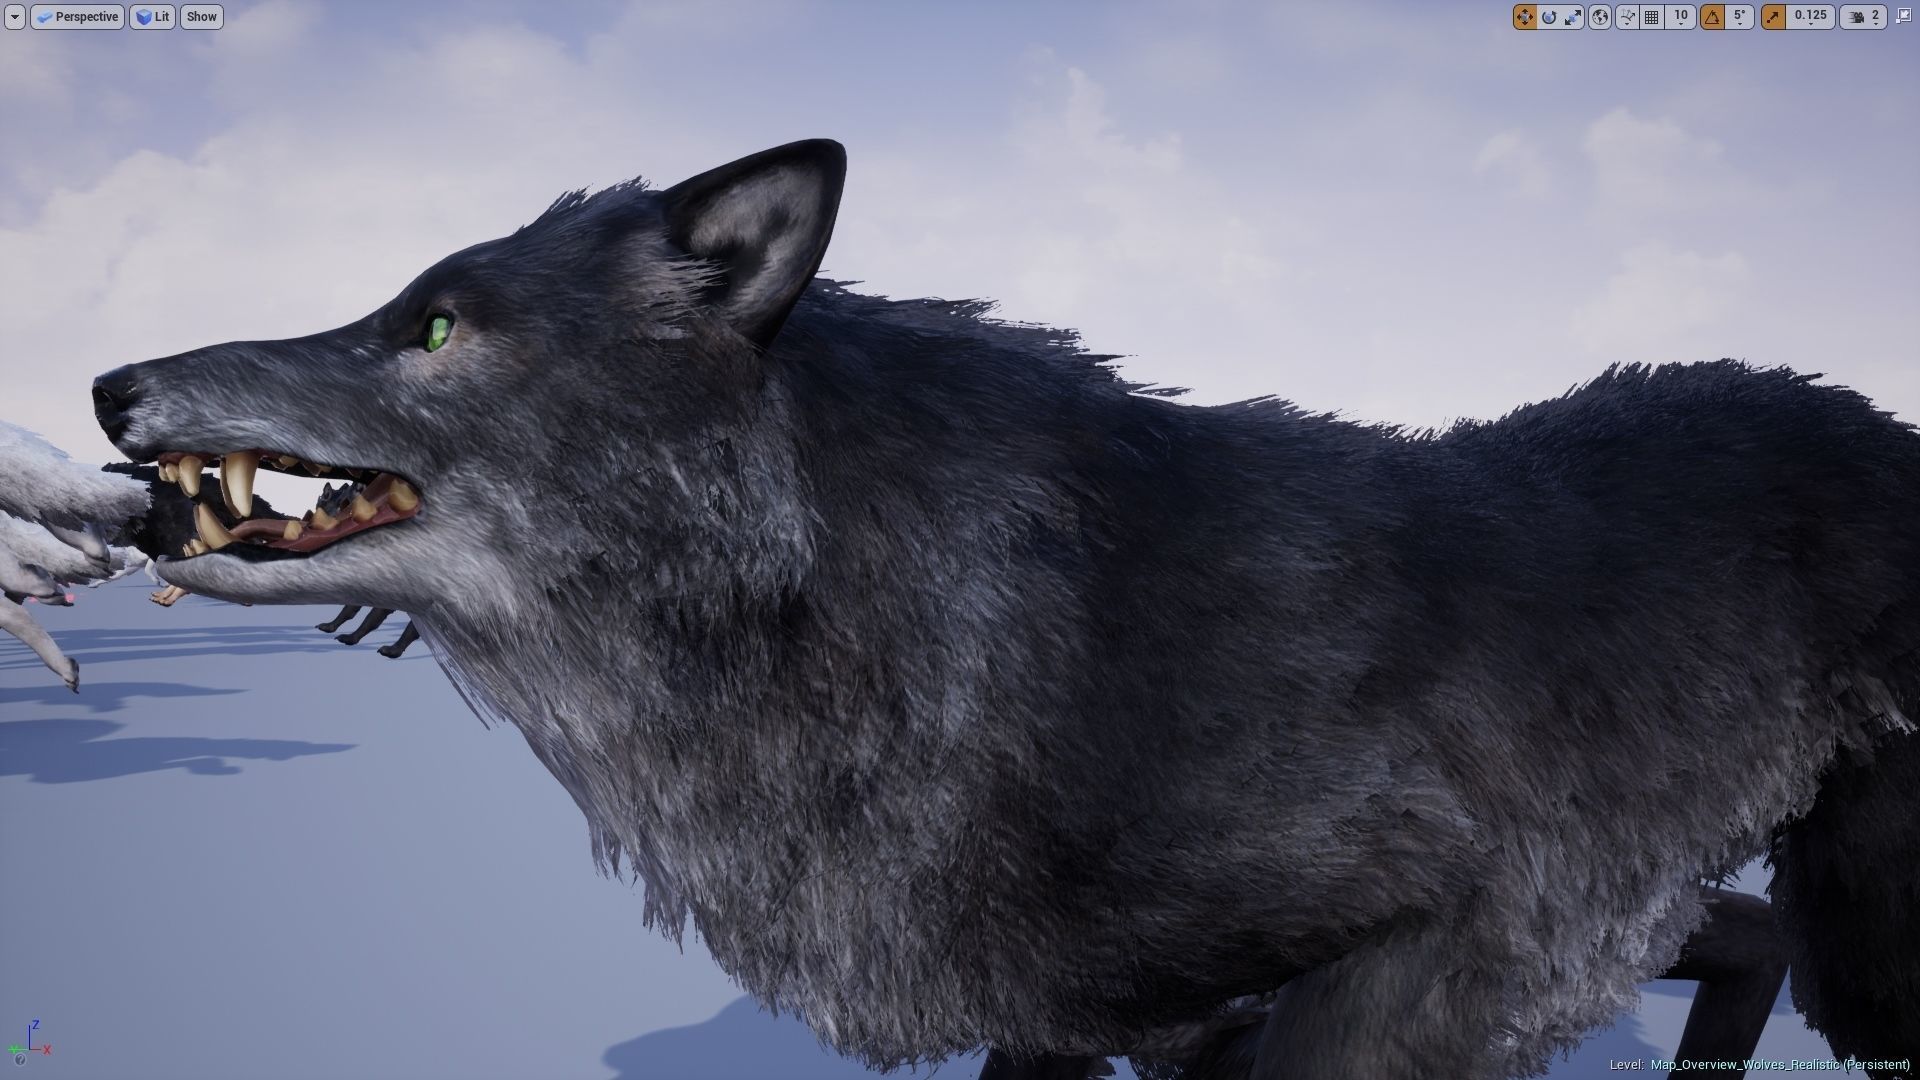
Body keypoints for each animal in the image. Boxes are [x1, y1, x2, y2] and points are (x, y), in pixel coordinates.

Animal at [89, 140, 1920, 1078]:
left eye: (437, 326)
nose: (111, 384)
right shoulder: (1088, 1021)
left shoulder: (1431, 959)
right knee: (1749, 939)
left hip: (1846, 918)